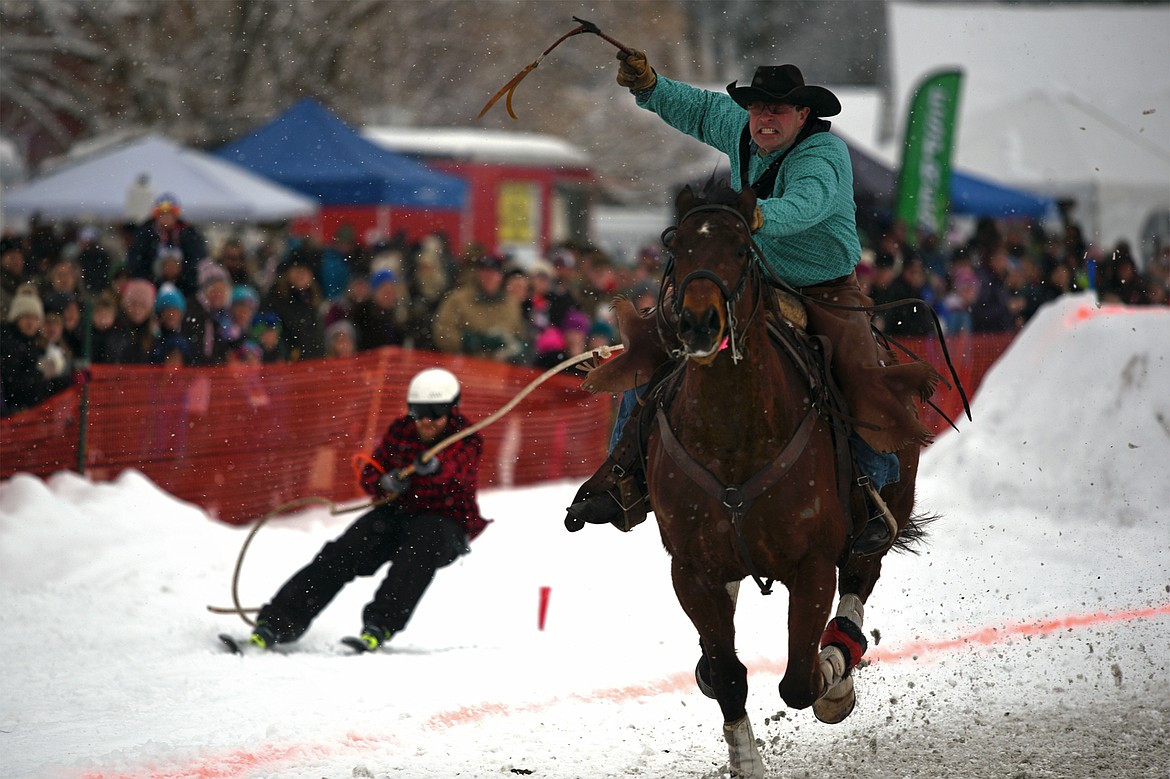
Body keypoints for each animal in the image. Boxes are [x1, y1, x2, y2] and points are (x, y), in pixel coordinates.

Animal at [641, 178, 921, 771]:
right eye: (678, 248)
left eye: (741, 249)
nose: (698, 323)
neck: (732, 434)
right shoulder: (691, 569)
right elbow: (728, 675)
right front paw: (745, 759)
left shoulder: (811, 565)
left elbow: (798, 681)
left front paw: (832, 674)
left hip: (882, 515)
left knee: (862, 575)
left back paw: (842, 657)